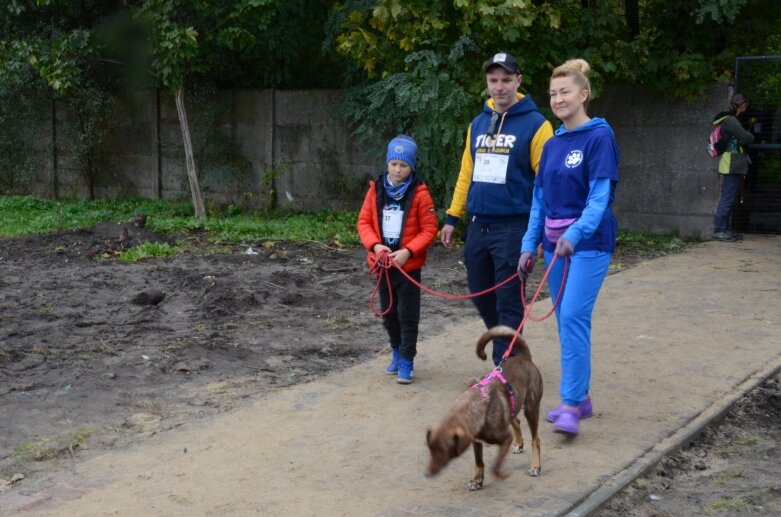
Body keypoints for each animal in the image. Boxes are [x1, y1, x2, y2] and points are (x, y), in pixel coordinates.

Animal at [426, 324, 544, 490]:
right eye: (430, 449)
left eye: (443, 451)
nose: (427, 473)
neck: (474, 407)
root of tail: (524, 357)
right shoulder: (476, 441)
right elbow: (479, 463)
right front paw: (477, 481)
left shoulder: (505, 438)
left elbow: (494, 467)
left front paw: (502, 474)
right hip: (513, 406)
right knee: (516, 421)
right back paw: (519, 444)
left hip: (531, 408)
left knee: (535, 439)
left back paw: (535, 466)